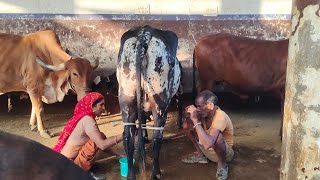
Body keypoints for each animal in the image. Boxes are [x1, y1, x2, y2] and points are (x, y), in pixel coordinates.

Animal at [117, 25, 182, 180]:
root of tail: (145, 34)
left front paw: (144, 137)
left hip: (127, 101)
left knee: (127, 137)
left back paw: (131, 174)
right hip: (160, 103)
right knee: (157, 138)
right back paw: (156, 173)